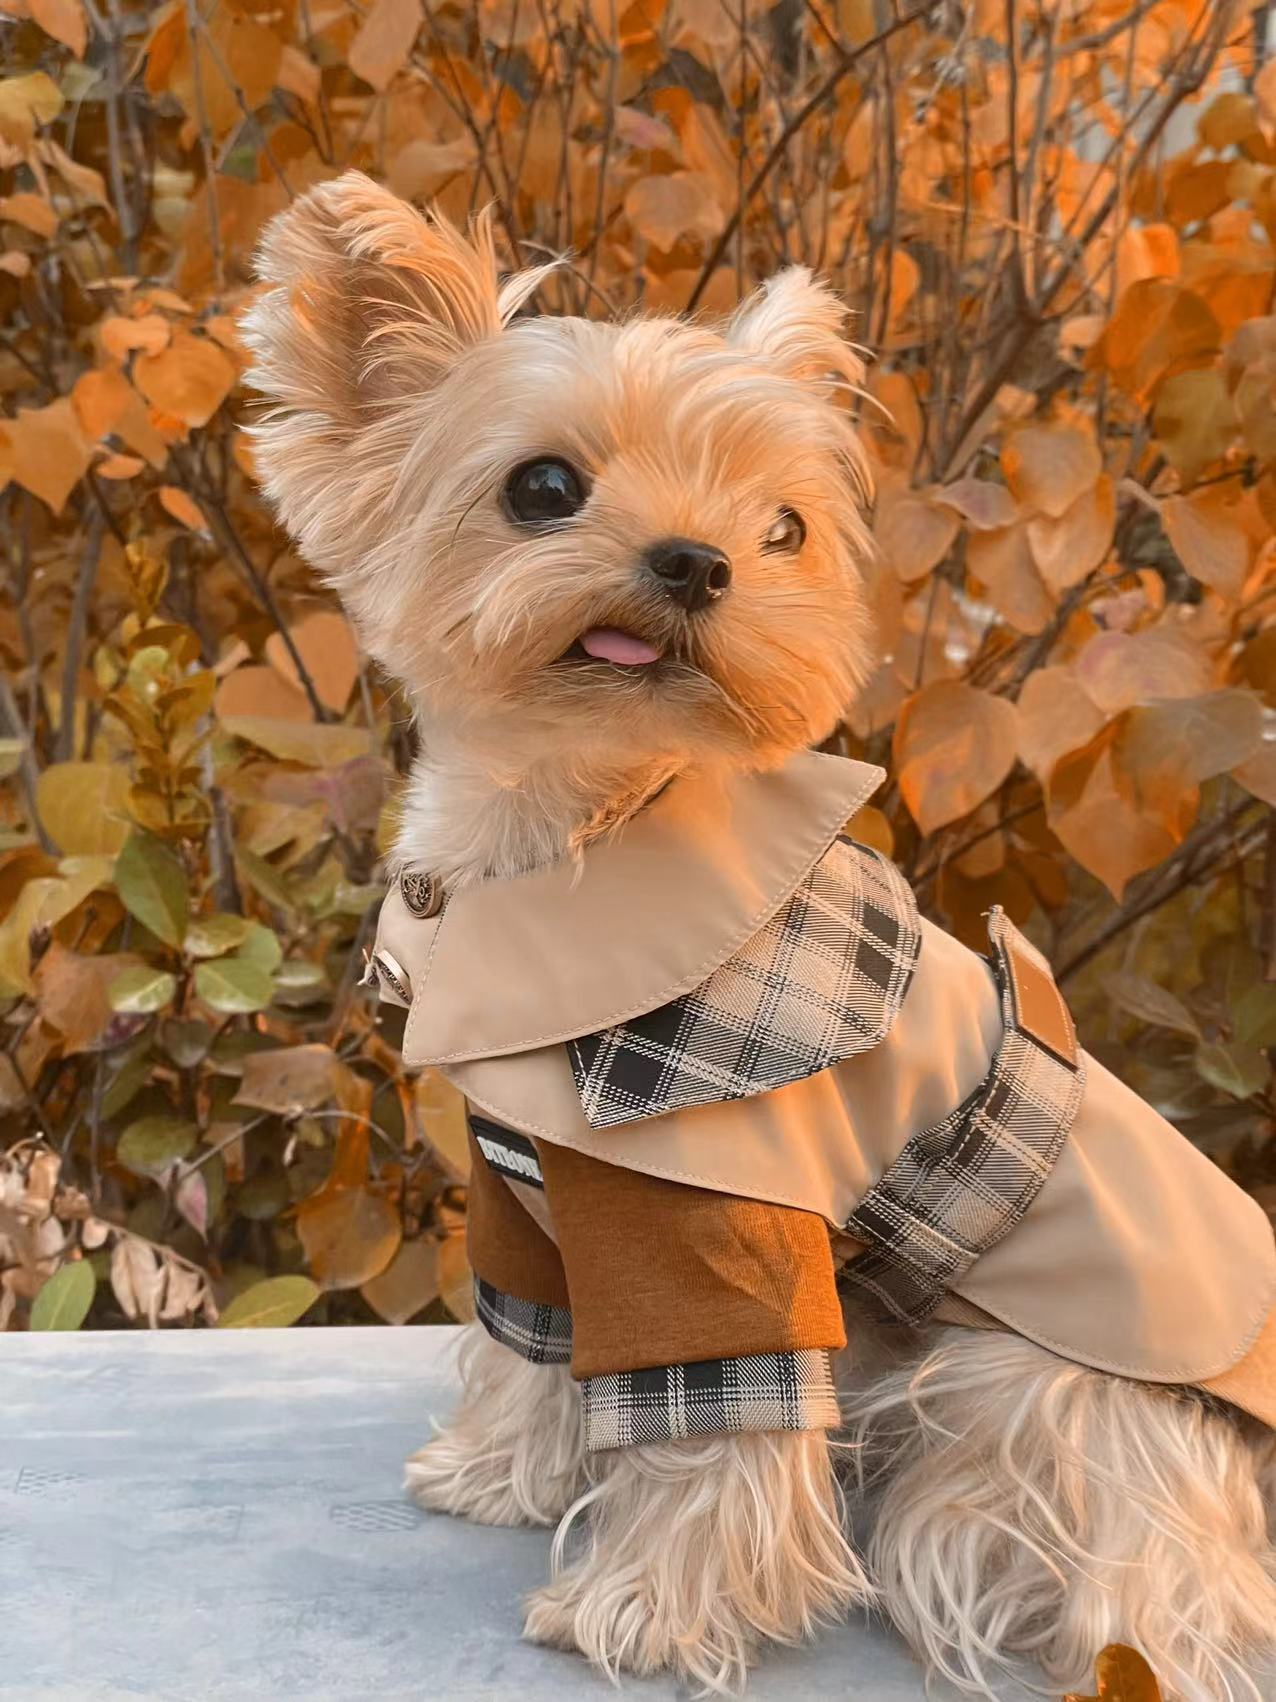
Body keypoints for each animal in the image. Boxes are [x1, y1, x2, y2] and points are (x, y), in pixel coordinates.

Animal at [241, 176, 1276, 1702]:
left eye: (785, 526)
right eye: (541, 487)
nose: (699, 559)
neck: (579, 836)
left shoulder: (717, 1222)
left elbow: (715, 1414)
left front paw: (642, 1610)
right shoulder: (526, 1196)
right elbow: (531, 1344)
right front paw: (498, 1472)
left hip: (1032, 1383)